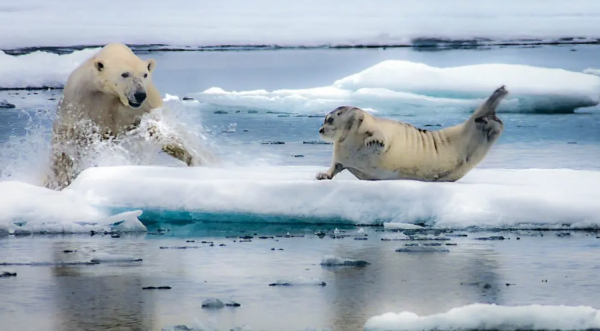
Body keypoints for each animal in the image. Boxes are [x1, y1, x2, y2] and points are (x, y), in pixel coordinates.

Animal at [44, 42, 206, 191]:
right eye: (125, 74)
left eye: (144, 74)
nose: (139, 95)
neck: (112, 94)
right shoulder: (80, 99)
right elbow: (67, 139)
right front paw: (61, 180)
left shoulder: (147, 104)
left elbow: (164, 131)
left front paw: (196, 160)